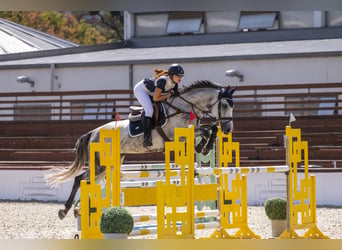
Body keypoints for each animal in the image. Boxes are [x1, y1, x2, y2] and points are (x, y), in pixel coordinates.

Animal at [45, 79, 235, 219]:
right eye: (225, 105)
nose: (228, 129)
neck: (183, 107)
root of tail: (93, 133)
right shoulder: (175, 136)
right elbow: (206, 130)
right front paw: (205, 146)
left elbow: (209, 129)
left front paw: (203, 147)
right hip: (101, 164)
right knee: (79, 179)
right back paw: (64, 211)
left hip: (109, 164)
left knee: (88, 181)